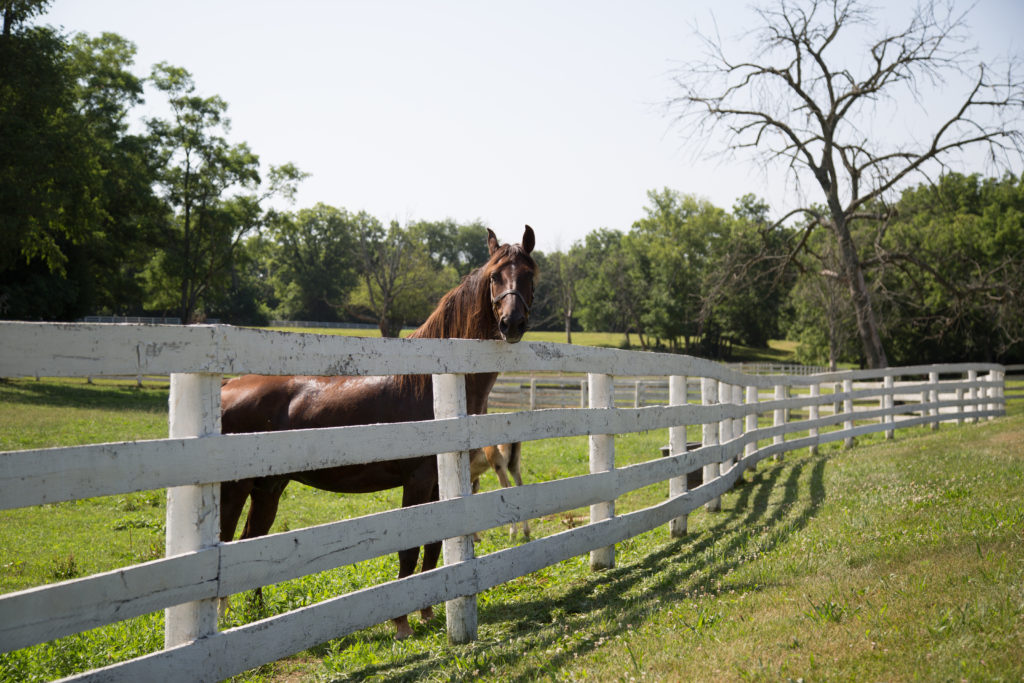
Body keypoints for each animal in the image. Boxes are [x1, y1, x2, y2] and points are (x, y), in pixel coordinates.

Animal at [216, 227, 536, 638]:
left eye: (529, 274)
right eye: (495, 275)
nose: (511, 323)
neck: (432, 384)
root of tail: (228, 386)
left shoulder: (440, 482)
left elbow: (433, 545)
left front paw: (426, 611)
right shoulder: (417, 481)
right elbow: (410, 549)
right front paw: (401, 623)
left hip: (268, 488)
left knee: (251, 544)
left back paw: (257, 616)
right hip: (235, 489)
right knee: (228, 542)